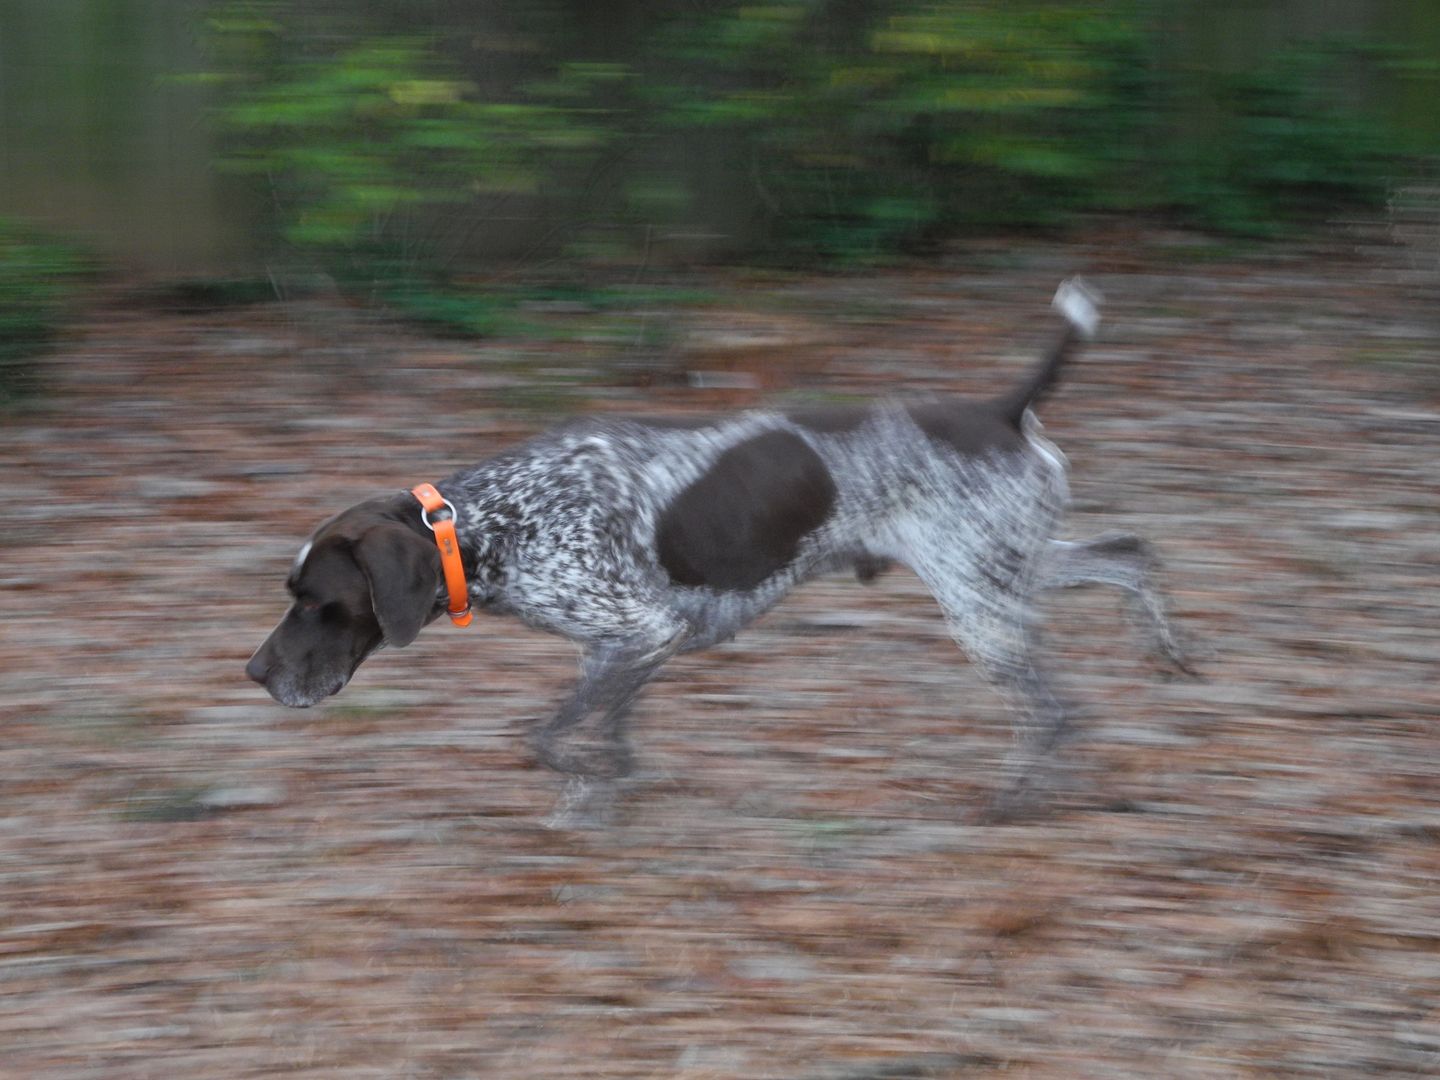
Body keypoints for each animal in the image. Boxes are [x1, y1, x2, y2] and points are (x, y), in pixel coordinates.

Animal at [250, 279, 1192, 817]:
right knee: (1131, 553)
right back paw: (1169, 651)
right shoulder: (626, 650)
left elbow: (548, 737)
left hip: (979, 602)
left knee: (1052, 710)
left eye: (317, 602)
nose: (254, 673)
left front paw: (586, 793)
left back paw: (1013, 801)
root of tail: (1005, 407)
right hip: (1012, 570)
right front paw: (618, 791)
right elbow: (610, 732)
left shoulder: (639, 632)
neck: (485, 524)